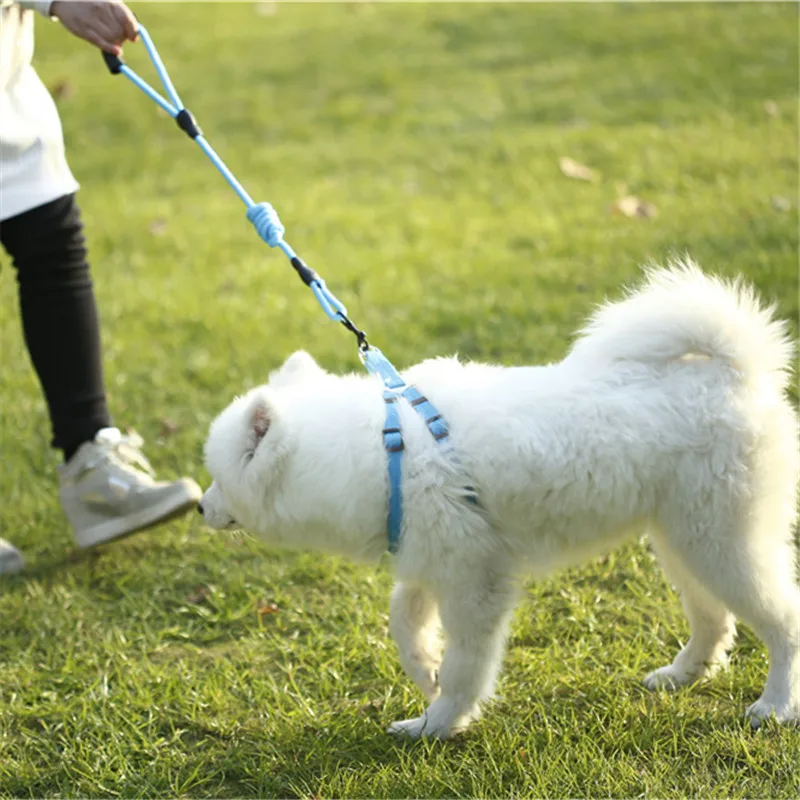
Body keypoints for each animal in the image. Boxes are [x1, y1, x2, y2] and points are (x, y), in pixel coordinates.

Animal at [202, 262, 800, 736]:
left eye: (216, 477)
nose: (200, 507)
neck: (386, 449)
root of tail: (737, 374)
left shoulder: (475, 585)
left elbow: (467, 667)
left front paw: (437, 723)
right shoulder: (433, 559)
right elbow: (404, 620)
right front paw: (425, 669)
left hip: (722, 541)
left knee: (783, 620)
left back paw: (775, 705)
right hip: (683, 540)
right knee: (715, 620)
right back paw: (682, 674)